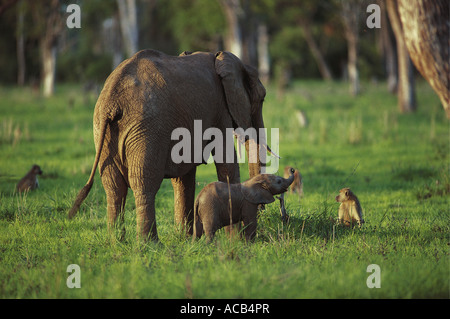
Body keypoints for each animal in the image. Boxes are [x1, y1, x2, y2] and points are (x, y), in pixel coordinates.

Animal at [67, 49, 270, 242]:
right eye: (262, 98)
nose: (262, 210)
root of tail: (112, 100)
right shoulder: (220, 110)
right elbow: (226, 163)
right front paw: (236, 240)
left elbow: (184, 177)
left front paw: (186, 240)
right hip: (147, 129)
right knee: (143, 182)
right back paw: (149, 245)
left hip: (102, 129)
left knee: (114, 186)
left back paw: (117, 243)